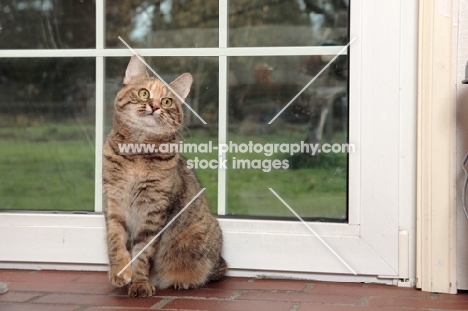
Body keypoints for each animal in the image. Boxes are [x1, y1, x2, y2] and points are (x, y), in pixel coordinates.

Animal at [103, 55, 227, 298]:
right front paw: (119, 271)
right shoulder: (113, 202)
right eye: (144, 93)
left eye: (167, 101)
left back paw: (183, 281)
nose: (155, 106)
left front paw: (139, 282)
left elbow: (142, 252)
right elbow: (115, 239)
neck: (137, 153)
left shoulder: (154, 211)